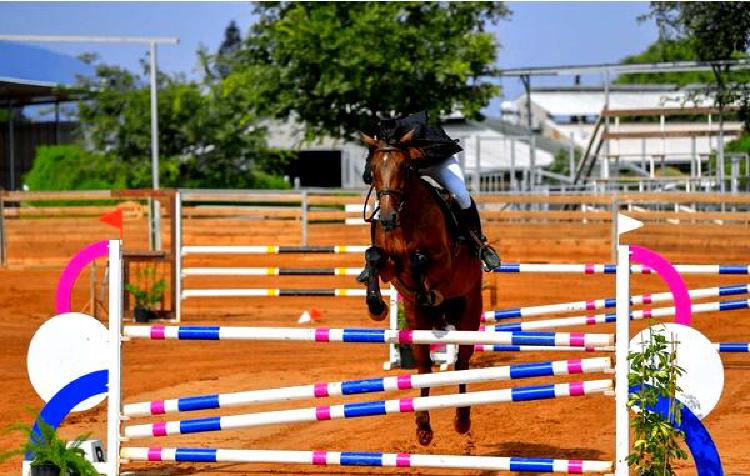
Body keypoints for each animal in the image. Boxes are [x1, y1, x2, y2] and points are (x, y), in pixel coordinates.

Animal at [360, 128, 488, 444]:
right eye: (373, 169)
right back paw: (423, 427)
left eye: (404, 168)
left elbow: (420, 260)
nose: (387, 218)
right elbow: (374, 255)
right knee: (424, 366)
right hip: (417, 323)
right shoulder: (391, 267)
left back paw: (462, 421)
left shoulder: (442, 261)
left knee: (462, 364)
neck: (406, 217)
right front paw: (376, 305)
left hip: (468, 316)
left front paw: (426, 288)